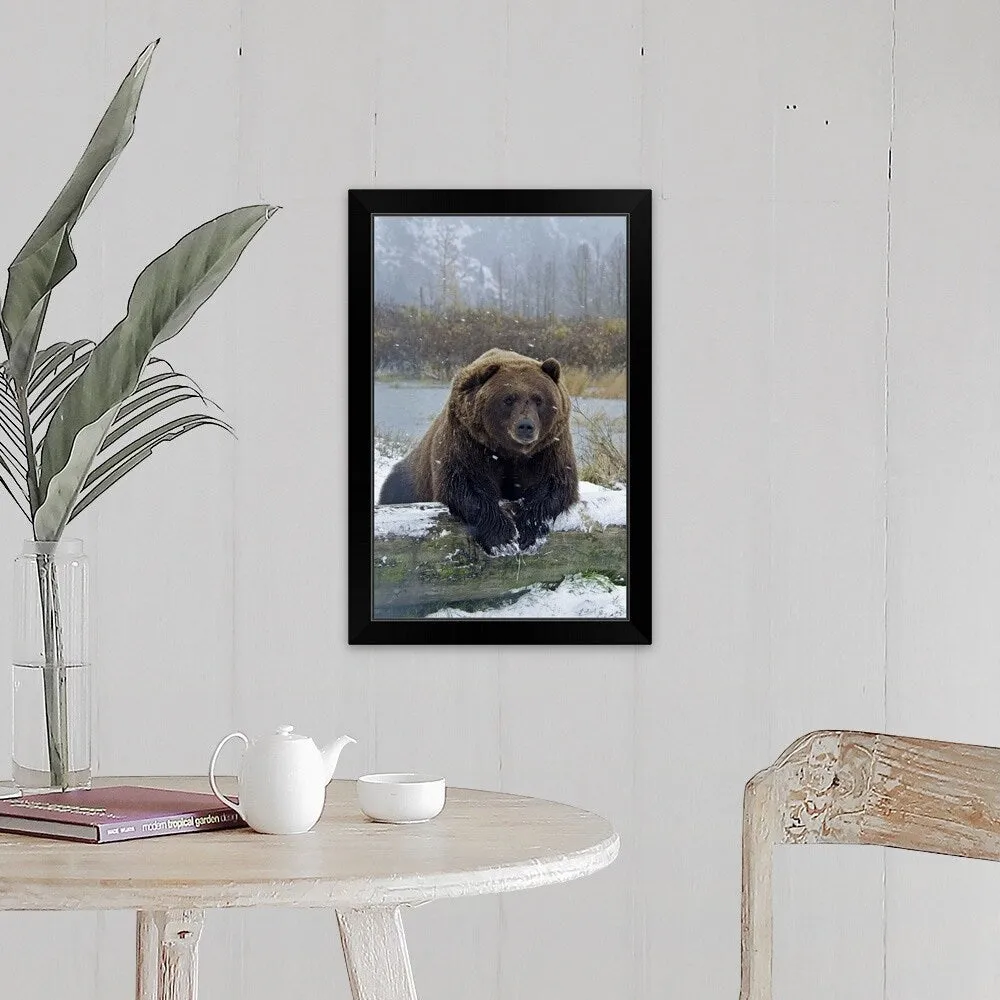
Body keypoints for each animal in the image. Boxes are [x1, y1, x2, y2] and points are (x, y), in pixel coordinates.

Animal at [376, 350, 580, 556]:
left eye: (539, 399)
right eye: (508, 399)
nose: (525, 426)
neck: (508, 451)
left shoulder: (547, 447)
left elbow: (552, 483)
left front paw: (527, 532)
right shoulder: (468, 438)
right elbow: (466, 483)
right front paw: (502, 538)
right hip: (406, 483)